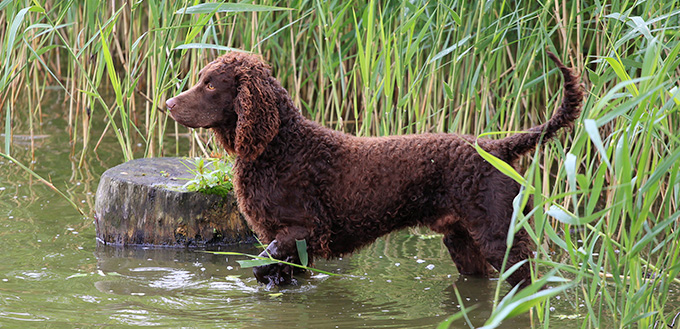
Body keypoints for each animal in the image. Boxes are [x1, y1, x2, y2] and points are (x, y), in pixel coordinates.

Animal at [166, 50, 584, 288]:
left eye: (210, 85)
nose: (168, 103)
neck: (280, 146)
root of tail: (497, 146)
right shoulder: (291, 242)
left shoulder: (304, 229)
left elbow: (260, 264)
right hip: (463, 242)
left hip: (501, 237)